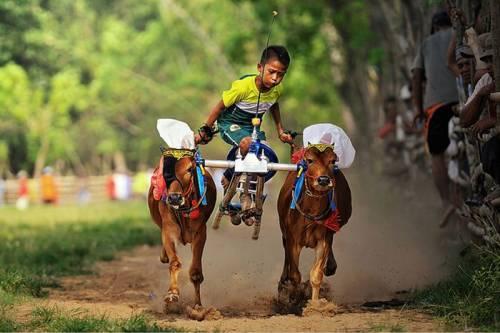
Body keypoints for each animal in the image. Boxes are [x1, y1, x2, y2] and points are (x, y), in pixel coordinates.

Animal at [147, 149, 216, 308]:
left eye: (189, 169)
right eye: (166, 171)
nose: (174, 198)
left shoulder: (200, 233)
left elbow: (196, 272)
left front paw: (198, 305)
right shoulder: (169, 231)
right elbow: (174, 262)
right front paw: (172, 293)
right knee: (166, 257)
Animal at [278, 144, 352, 304]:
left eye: (332, 160)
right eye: (310, 160)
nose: (323, 180)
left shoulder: (323, 240)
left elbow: (316, 275)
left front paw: (315, 304)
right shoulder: (293, 240)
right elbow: (295, 275)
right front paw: (293, 298)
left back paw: (331, 266)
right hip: (284, 233)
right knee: (286, 259)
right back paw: (283, 284)